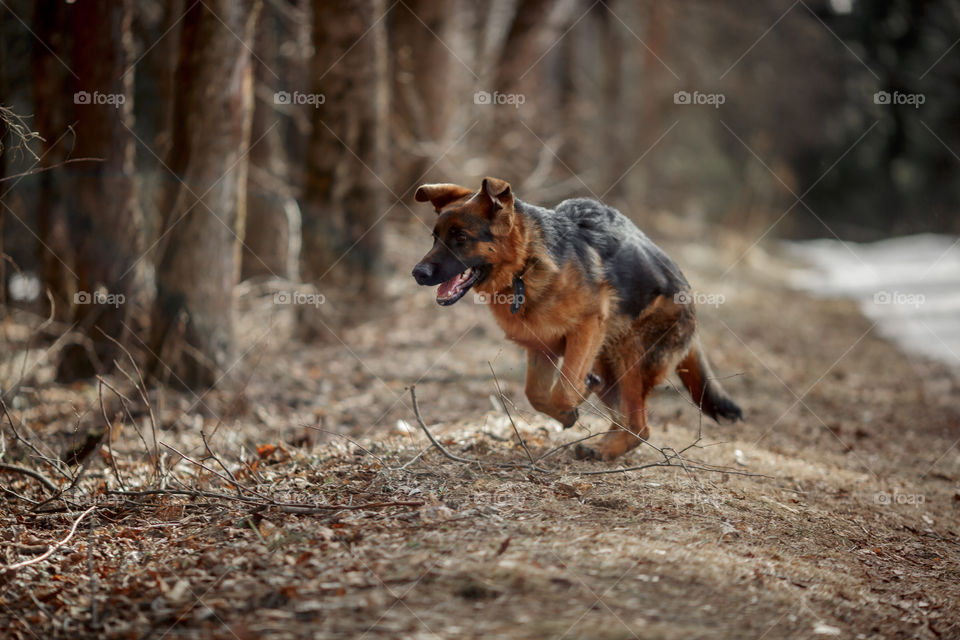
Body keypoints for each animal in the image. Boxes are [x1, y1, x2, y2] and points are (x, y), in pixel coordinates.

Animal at [412, 178, 744, 462]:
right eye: (434, 238)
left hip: (628, 352)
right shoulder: (541, 347)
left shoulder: (587, 327)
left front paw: (576, 398)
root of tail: (689, 293)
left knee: (639, 424)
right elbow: (536, 394)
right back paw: (604, 445)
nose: (417, 273)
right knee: (629, 421)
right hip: (608, 361)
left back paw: (605, 446)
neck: (525, 266)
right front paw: (566, 414)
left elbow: (564, 388)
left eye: (461, 238)